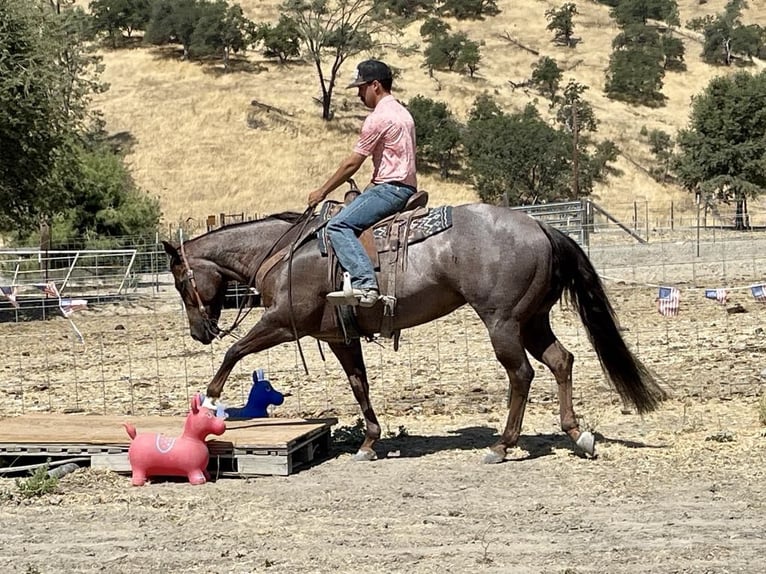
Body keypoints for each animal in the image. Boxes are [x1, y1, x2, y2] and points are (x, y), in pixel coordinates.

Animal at [165, 205, 668, 466]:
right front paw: (369, 442)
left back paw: (501, 446)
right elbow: (360, 386)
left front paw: (209, 401)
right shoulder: (339, 338)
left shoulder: (284, 323)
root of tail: (541, 225)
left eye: (181, 282)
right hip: (532, 320)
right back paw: (577, 435)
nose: (199, 332)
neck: (286, 252)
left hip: (503, 322)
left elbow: (234, 352)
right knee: (561, 360)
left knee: (521, 374)